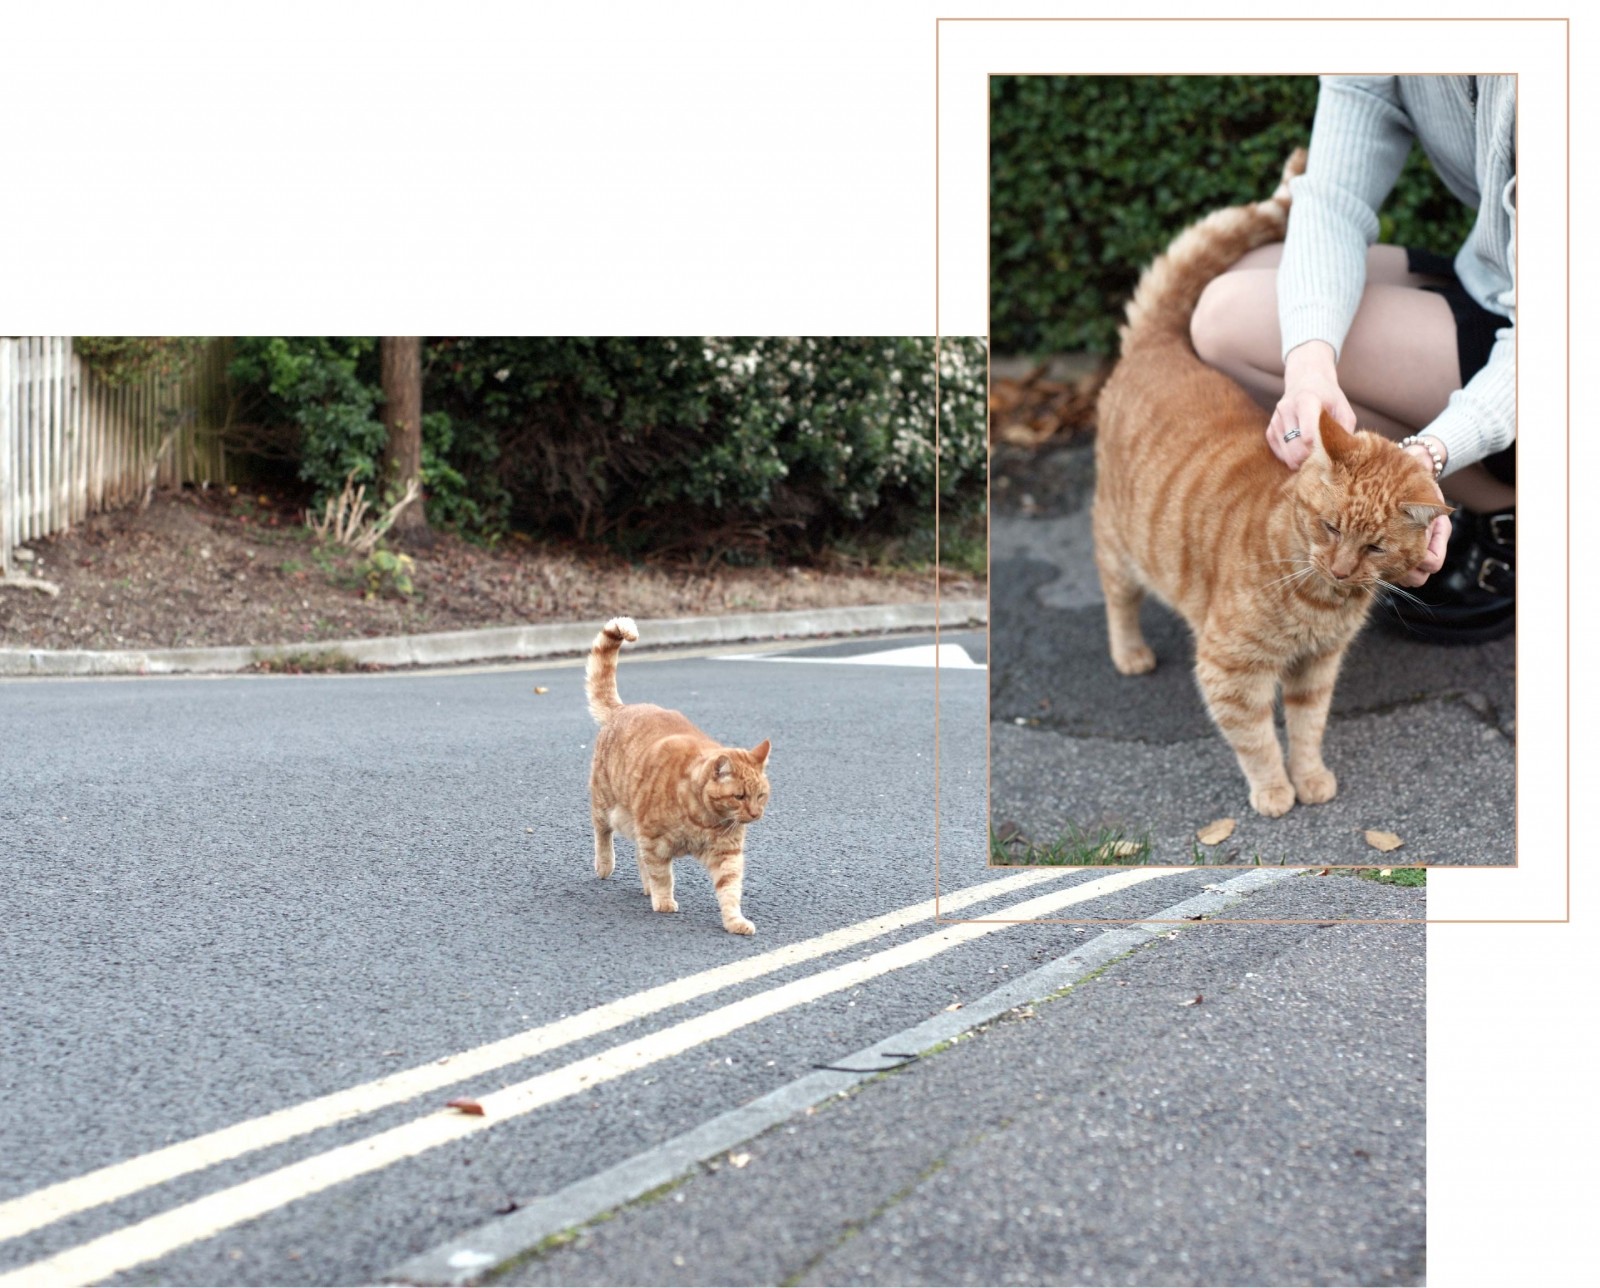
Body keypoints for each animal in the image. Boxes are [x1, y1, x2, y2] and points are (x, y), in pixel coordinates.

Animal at [585, 614, 771, 928]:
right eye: (740, 796)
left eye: (761, 796)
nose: (756, 814)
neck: (704, 819)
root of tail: (624, 708)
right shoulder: (654, 841)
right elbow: (662, 876)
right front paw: (663, 901)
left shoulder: (727, 853)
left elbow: (730, 888)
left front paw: (735, 921)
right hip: (606, 802)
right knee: (602, 832)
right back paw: (605, 865)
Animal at [1100, 150, 1452, 812]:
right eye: (1329, 527)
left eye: (1374, 547)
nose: (1340, 567)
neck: (1321, 600)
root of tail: (1162, 345)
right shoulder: (1231, 670)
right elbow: (1256, 738)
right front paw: (1274, 791)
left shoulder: (1317, 668)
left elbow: (1307, 727)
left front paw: (1309, 777)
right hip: (1117, 543)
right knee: (1119, 599)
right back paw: (1129, 653)